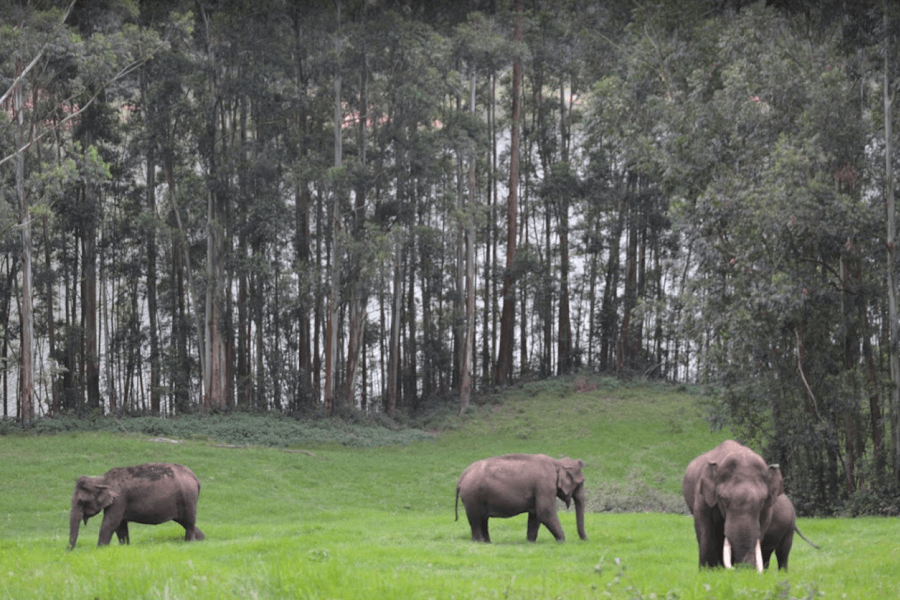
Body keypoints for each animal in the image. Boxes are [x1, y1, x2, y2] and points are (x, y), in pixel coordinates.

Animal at [69, 462, 205, 552]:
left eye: (81, 501)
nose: (68, 552)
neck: (101, 479)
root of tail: (194, 477)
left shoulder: (119, 499)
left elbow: (111, 523)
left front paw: (99, 550)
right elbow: (121, 526)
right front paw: (125, 547)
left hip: (188, 498)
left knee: (189, 522)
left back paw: (189, 543)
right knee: (185, 522)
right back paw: (201, 539)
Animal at [454, 452, 588, 540]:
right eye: (581, 482)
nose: (586, 540)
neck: (556, 463)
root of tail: (462, 477)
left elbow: (535, 516)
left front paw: (530, 542)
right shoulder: (544, 485)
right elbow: (545, 512)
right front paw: (563, 541)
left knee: (483, 520)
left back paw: (487, 543)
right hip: (472, 496)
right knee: (476, 520)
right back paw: (479, 542)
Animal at [684, 440, 784, 572]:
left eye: (762, 501)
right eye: (723, 499)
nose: (746, 569)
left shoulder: (767, 510)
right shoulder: (702, 498)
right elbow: (705, 528)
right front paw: (707, 571)